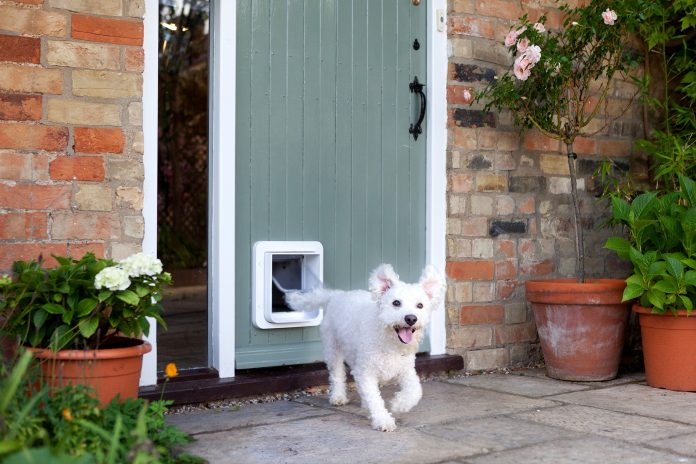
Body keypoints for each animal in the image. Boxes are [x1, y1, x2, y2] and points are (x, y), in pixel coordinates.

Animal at [286, 264, 446, 432]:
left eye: (420, 305)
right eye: (396, 303)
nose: (411, 318)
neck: (388, 341)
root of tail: (337, 295)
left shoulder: (405, 370)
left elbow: (415, 390)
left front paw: (399, 404)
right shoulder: (367, 372)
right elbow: (375, 399)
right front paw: (383, 420)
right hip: (333, 349)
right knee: (337, 374)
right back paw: (338, 396)